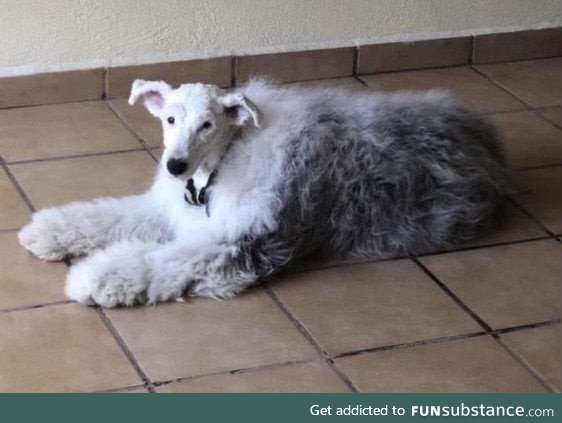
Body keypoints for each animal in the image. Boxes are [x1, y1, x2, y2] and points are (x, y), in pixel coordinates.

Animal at [17, 78, 508, 308]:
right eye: (170, 119)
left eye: (208, 124)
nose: (175, 166)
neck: (215, 174)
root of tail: (484, 136)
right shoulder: (169, 211)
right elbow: (108, 215)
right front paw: (46, 231)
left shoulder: (241, 240)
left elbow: (160, 259)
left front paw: (94, 278)